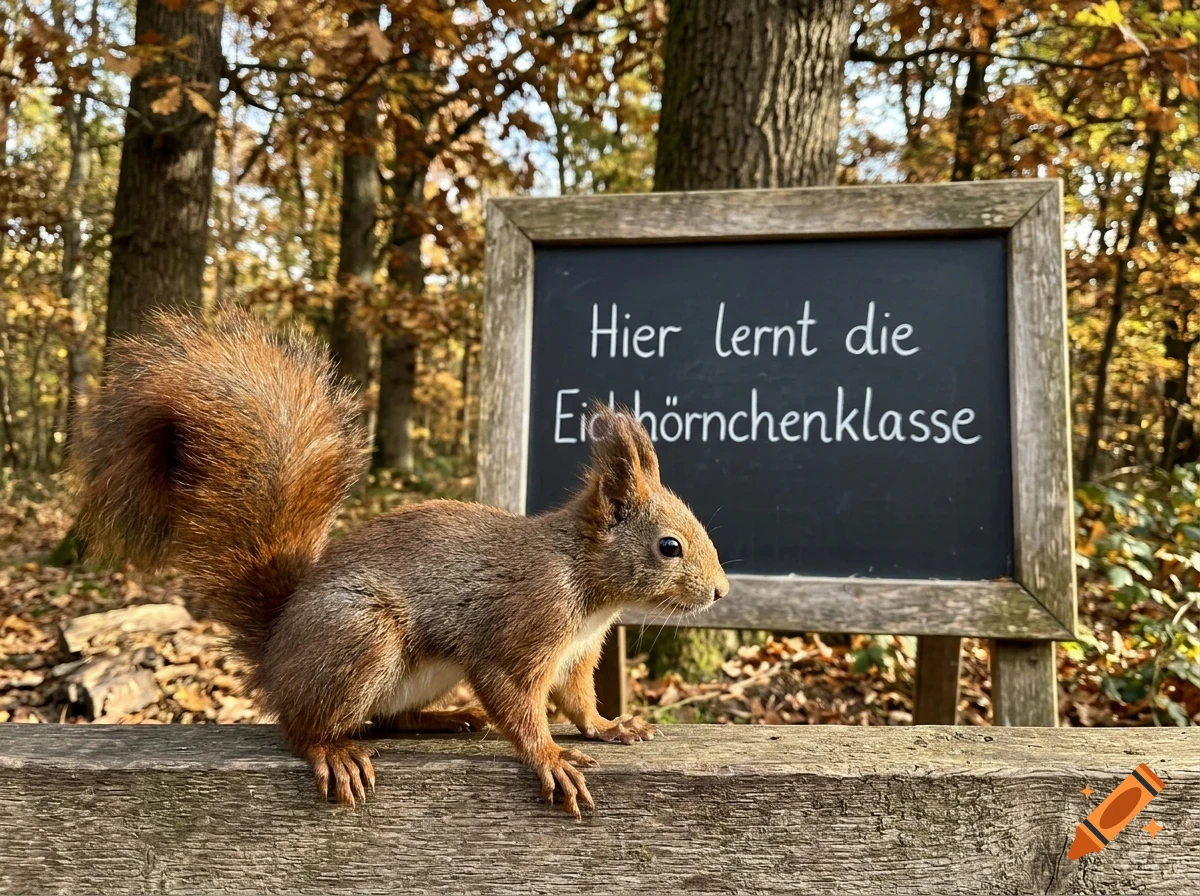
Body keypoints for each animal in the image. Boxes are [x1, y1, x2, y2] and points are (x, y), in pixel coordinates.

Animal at [76, 308, 729, 818]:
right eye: (669, 546)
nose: (721, 591)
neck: (586, 581)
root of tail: (276, 657)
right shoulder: (519, 631)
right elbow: (518, 703)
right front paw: (550, 756)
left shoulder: (576, 655)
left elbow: (578, 702)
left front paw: (612, 726)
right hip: (360, 639)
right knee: (302, 727)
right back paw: (332, 751)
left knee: (385, 721)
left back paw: (445, 719)